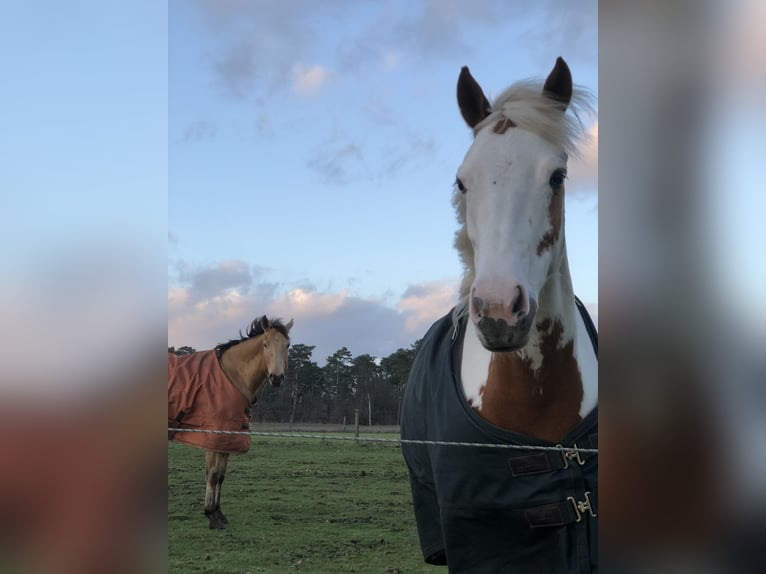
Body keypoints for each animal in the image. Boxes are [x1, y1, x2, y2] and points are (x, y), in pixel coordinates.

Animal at [169, 316, 294, 532]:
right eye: (265, 343)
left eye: (287, 345)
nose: (277, 378)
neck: (231, 375)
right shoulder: (213, 438)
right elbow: (212, 474)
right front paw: (211, 516)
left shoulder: (228, 438)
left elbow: (221, 475)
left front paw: (219, 514)